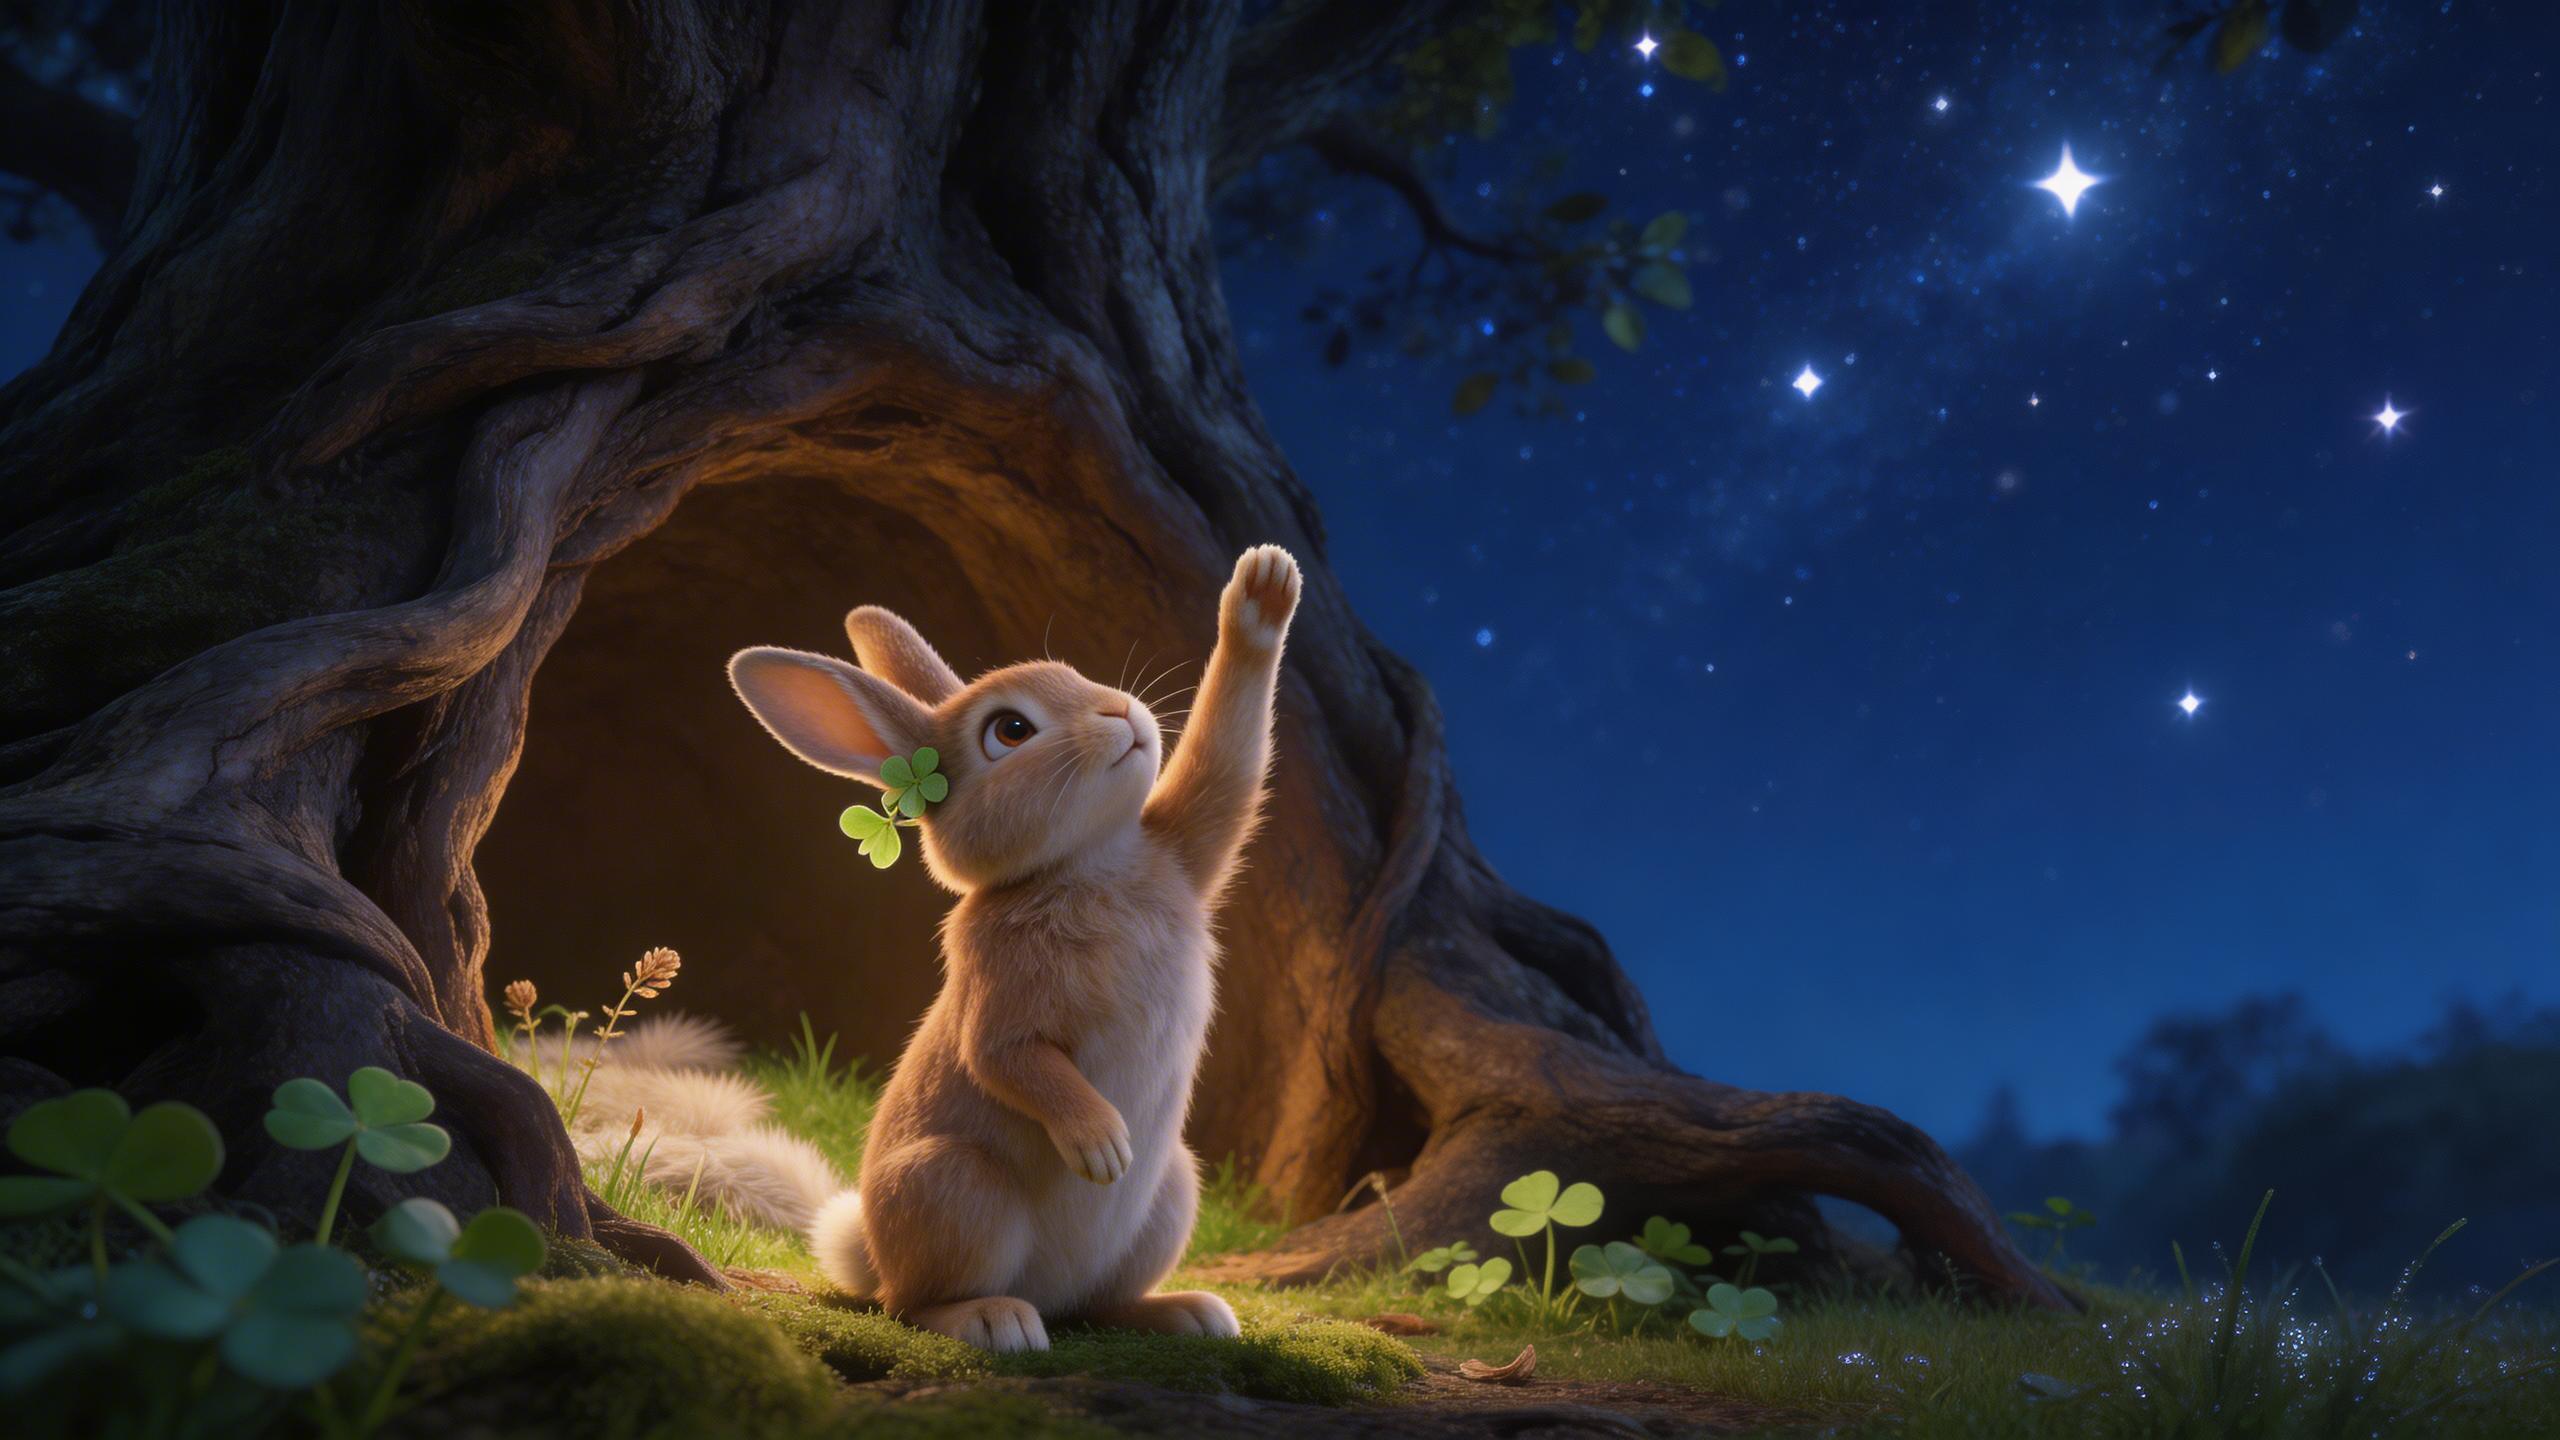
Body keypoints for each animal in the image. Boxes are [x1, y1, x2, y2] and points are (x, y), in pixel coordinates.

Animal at [725, 544, 1303, 1352]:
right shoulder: (995, 994)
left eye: (1072, 671)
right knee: (909, 1304)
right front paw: (1103, 1148)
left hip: (1172, 1192)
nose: (1120, 711)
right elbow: (1010, 1060)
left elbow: (1229, 767)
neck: (1084, 864)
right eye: (1010, 731)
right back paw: (995, 1320)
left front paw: (1266, 586)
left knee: (1100, 1305)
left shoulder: (1185, 850)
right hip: (956, 1188)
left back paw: (1187, 1313)